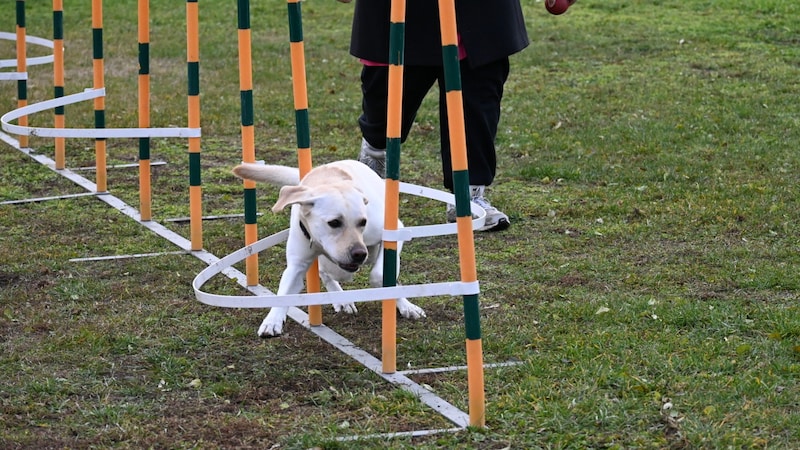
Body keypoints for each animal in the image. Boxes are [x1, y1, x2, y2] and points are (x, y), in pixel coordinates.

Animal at [231, 160, 424, 336]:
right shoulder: (297, 265)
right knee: (325, 272)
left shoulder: (394, 232)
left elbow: (379, 275)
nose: (360, 254)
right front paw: (272, 321)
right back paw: (342, 299)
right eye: (334, 222)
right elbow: (284, 293)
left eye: (363, 222)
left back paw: (407, 306)